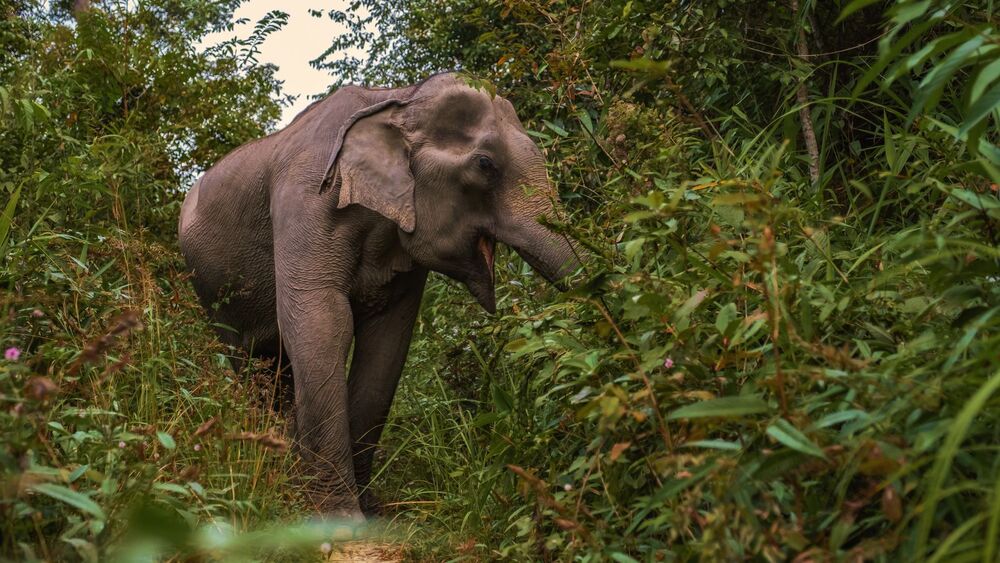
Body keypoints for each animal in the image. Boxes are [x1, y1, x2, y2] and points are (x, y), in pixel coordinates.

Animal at [176, 72, 576, 516]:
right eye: (485, 165)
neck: (397, 101)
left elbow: (386, 340)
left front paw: (371, 510)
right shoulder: (308, 199)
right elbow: (323, 321)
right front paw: (337, 515)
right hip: (211, 292)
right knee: (251, 363)